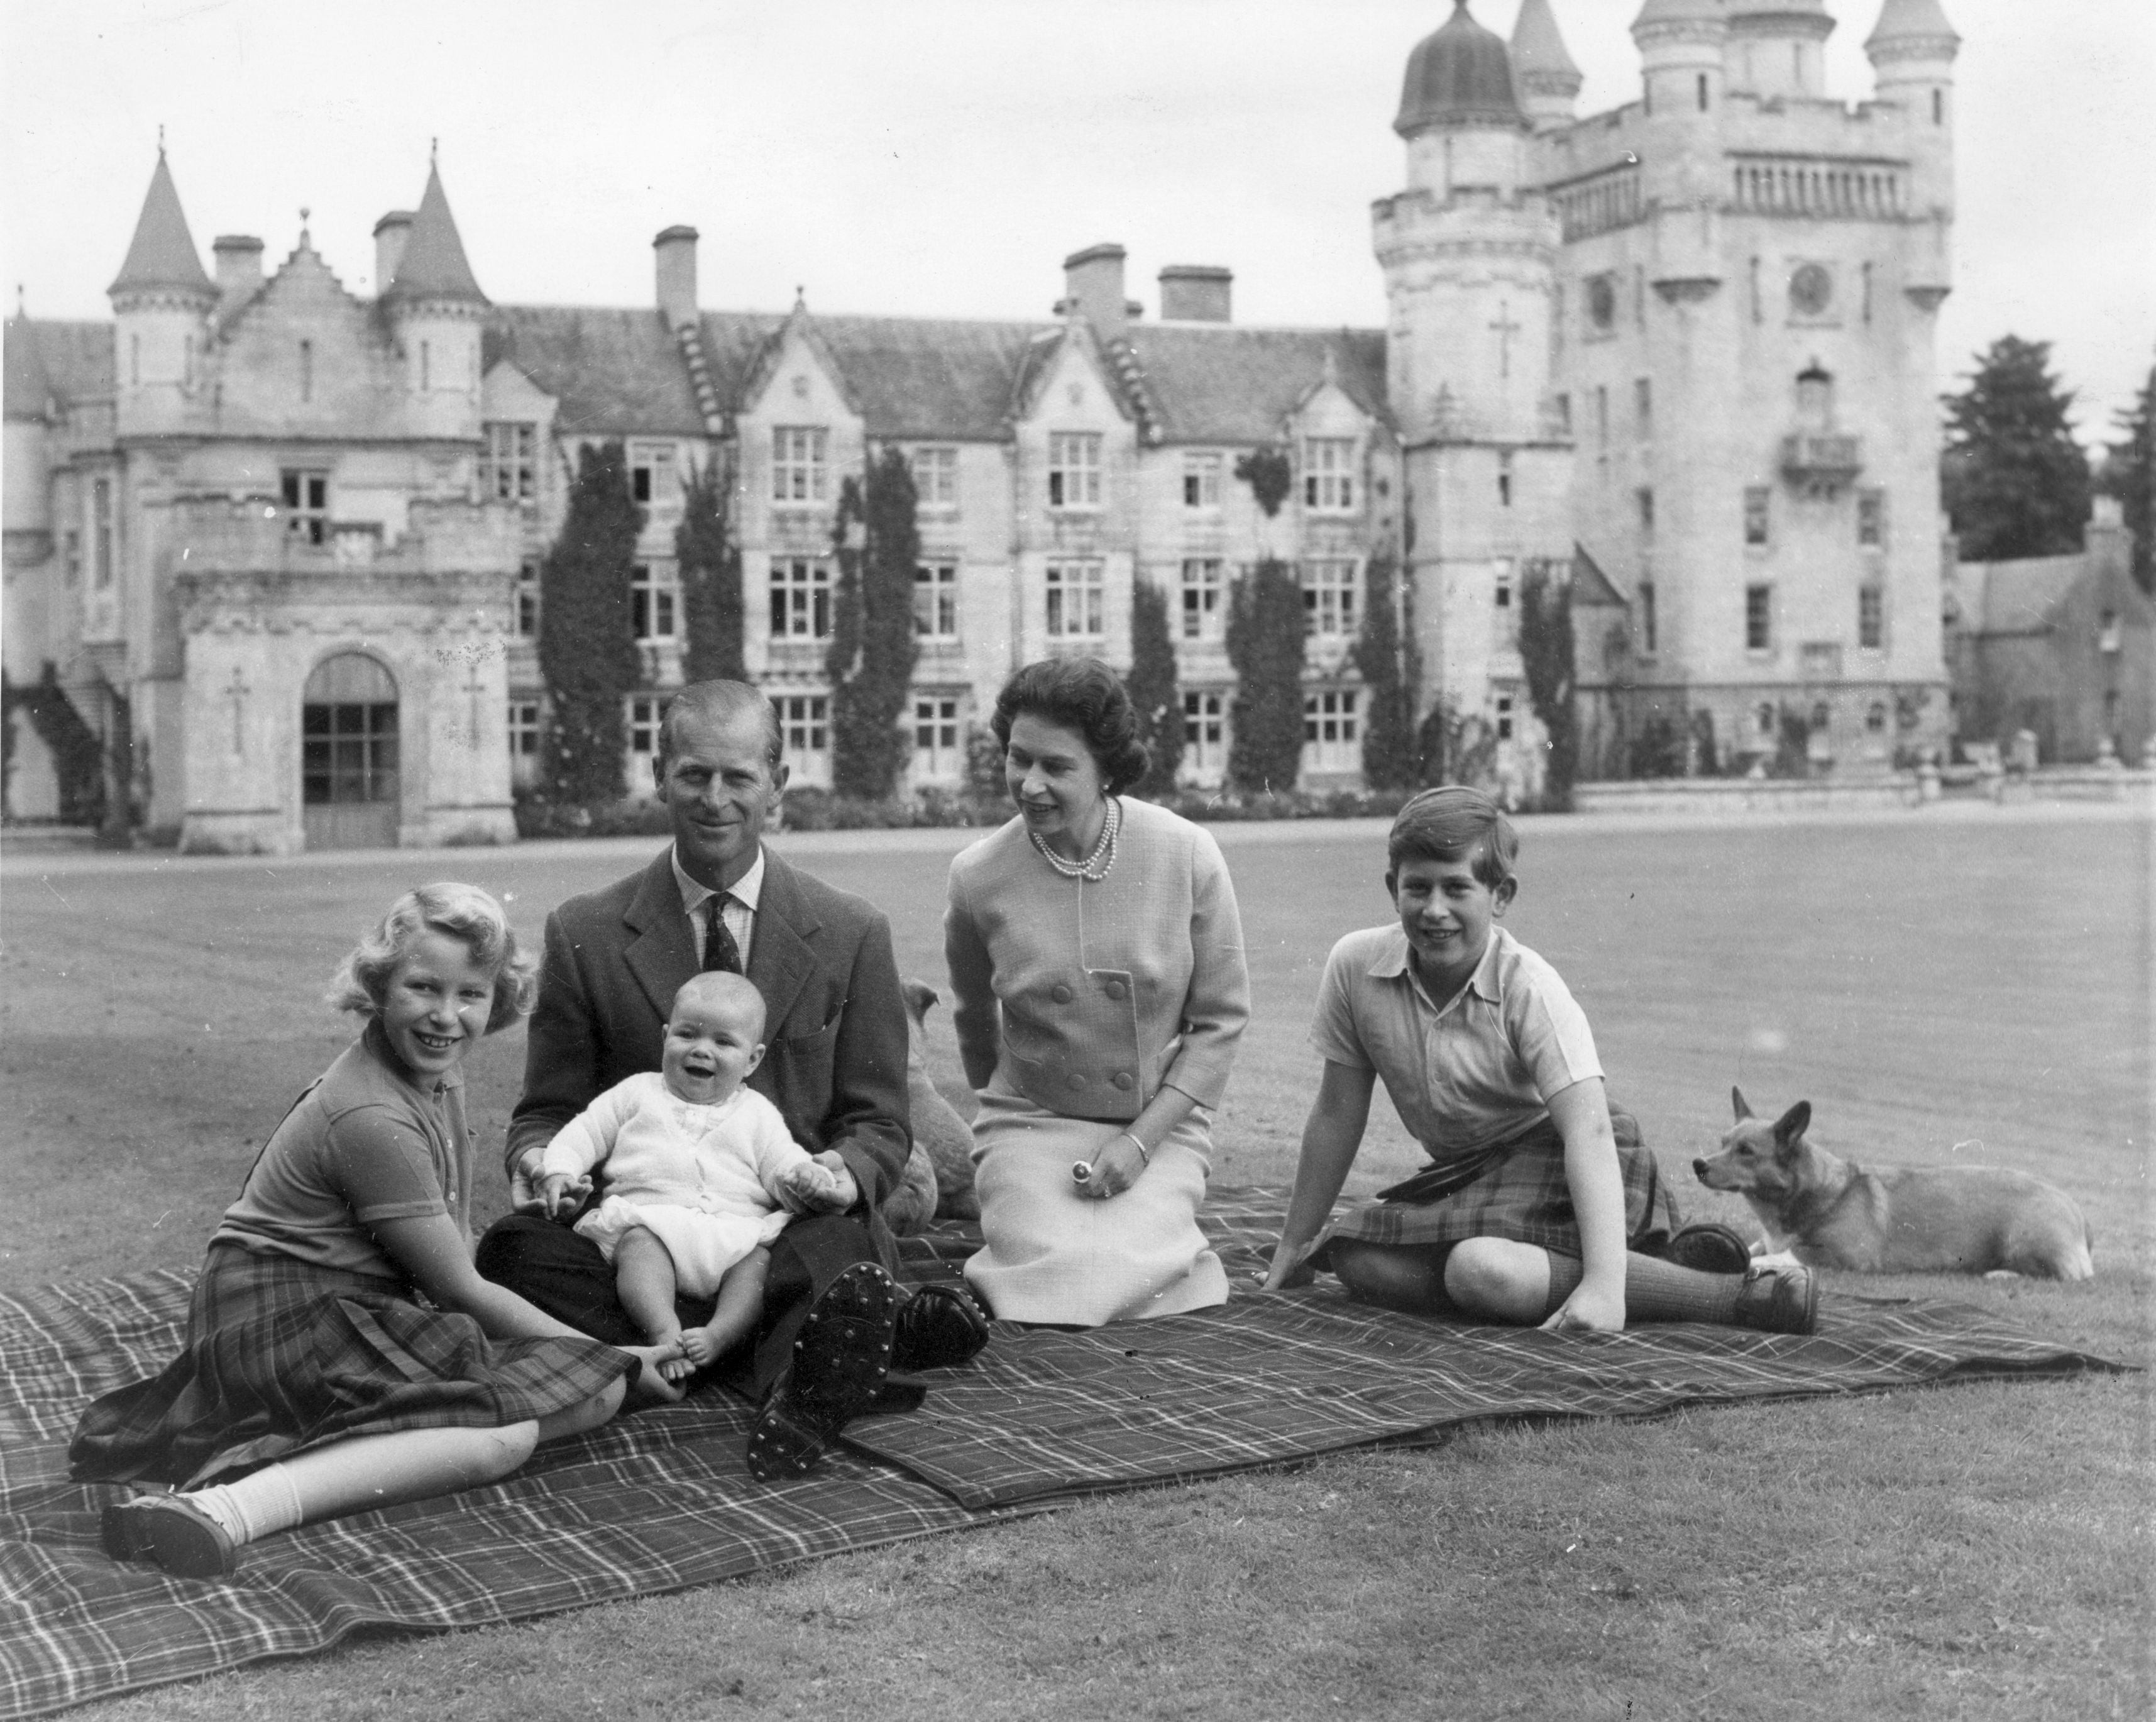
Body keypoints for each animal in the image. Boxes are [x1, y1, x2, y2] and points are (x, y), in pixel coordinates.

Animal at [1690, 1090, 2095, 1276]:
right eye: (1722, 1142)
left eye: (1746, 1151)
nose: (1698, 1164)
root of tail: (2076, 1209)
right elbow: (1753, 1245)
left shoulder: (1845, 1257)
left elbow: (1785, 1255)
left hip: (2023, 1240)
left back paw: (1999, 1274)